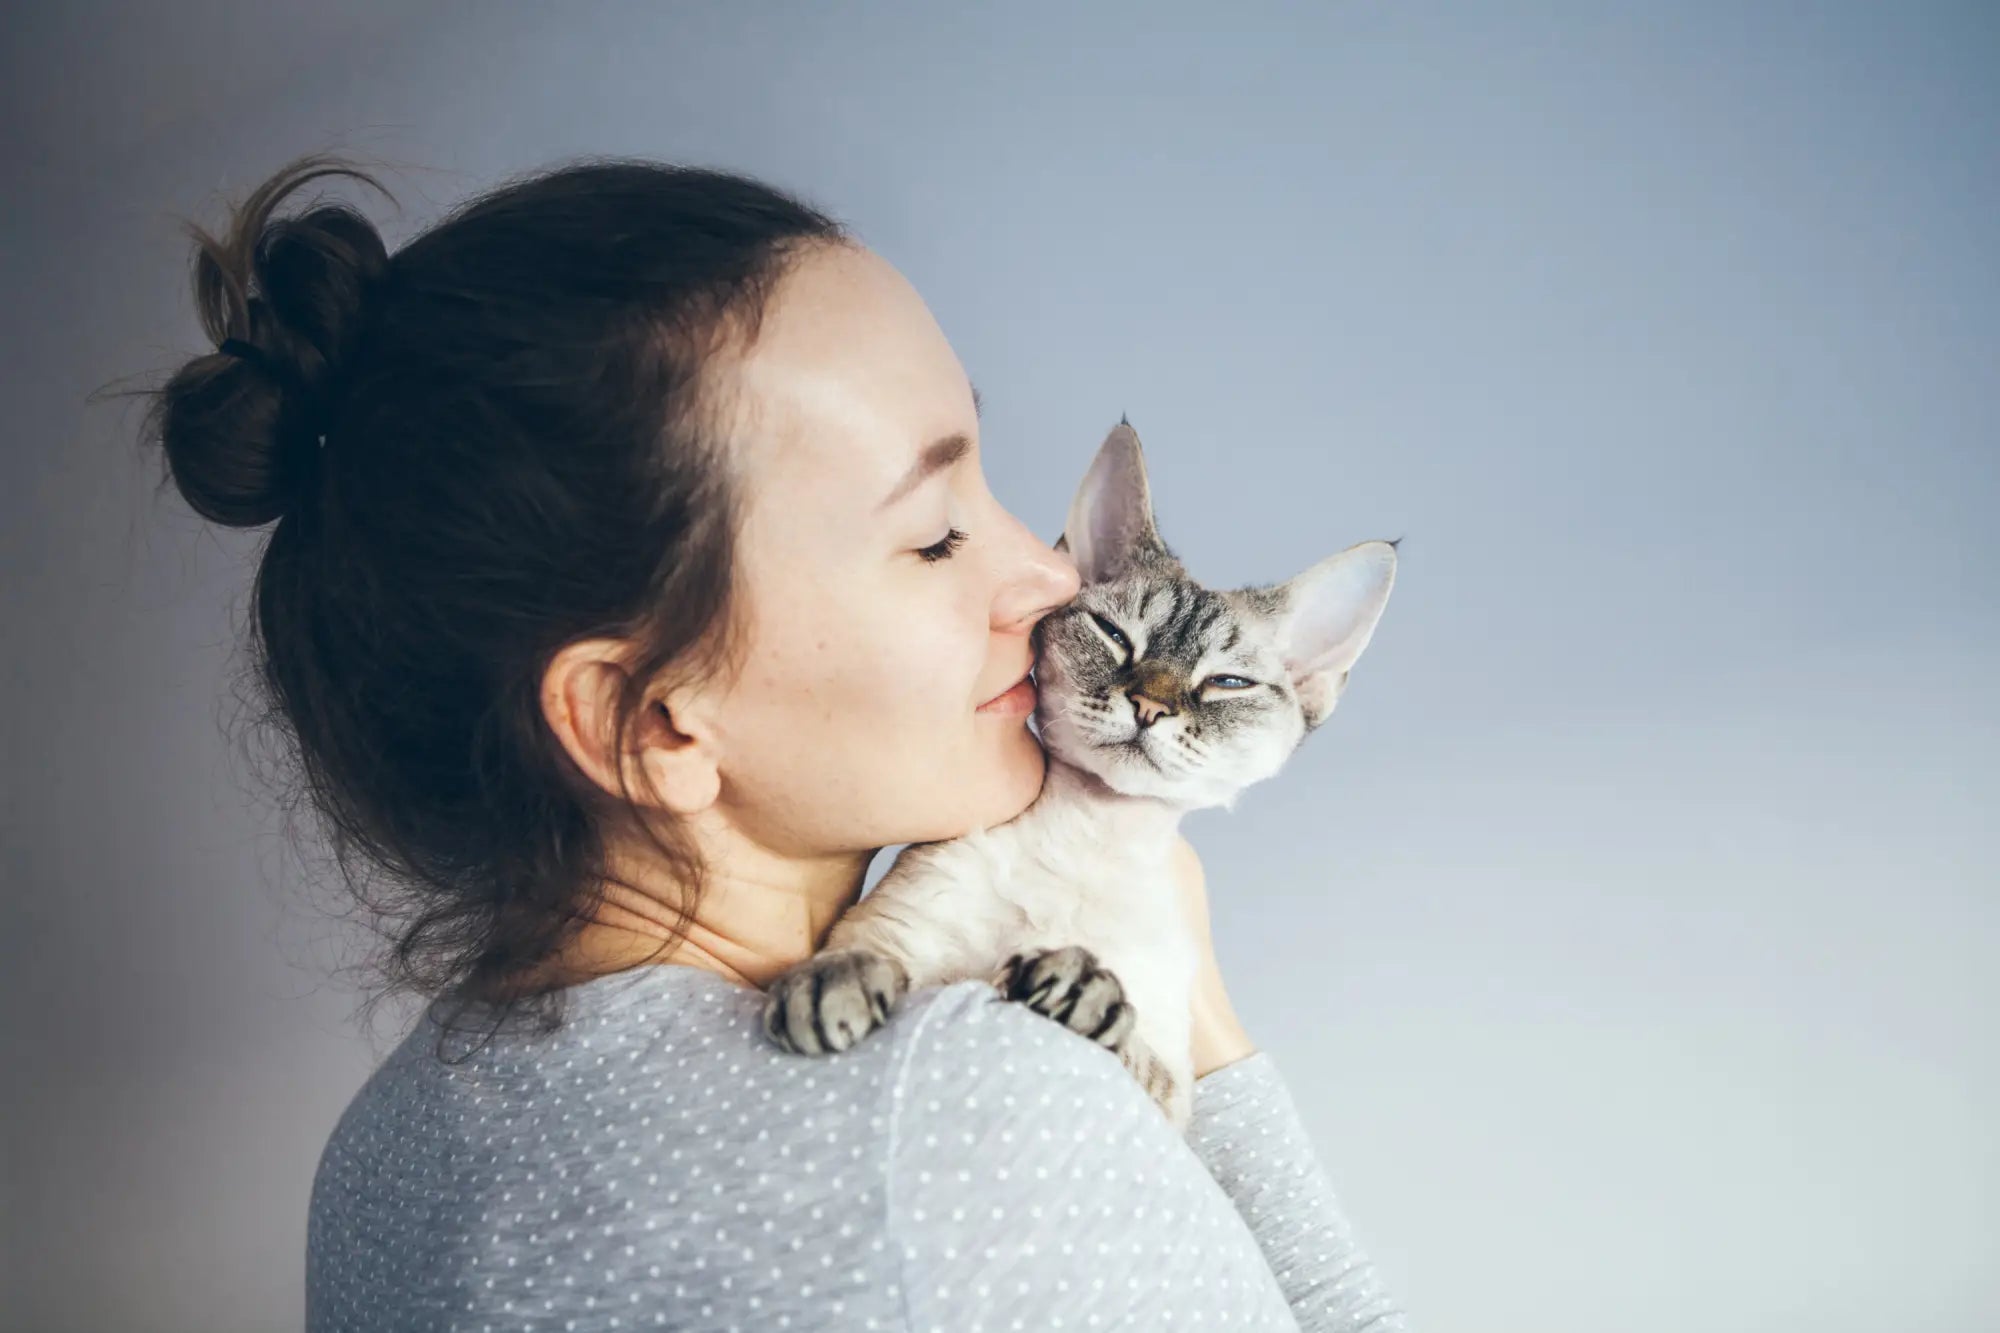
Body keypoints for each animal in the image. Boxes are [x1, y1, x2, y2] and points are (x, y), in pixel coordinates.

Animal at [756, 418, 1400, 1128]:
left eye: (1226, 684)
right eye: (1115, 637)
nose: (1149, 706)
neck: (1089, 835)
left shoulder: (1170, 1094)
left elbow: (1132, 1041)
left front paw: (1079, 987)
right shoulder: (896, 928)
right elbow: (866, 954)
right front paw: (831, 985)